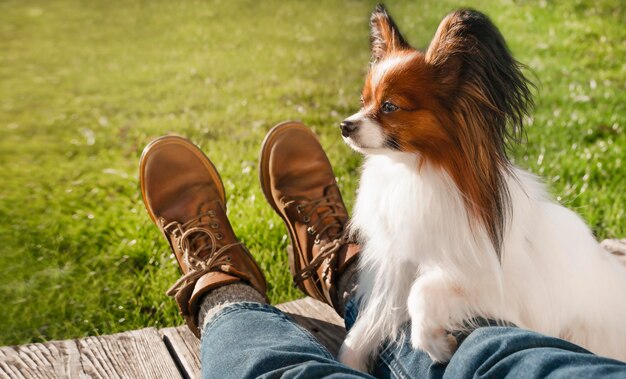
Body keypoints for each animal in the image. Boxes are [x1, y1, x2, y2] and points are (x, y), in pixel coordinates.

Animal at [338, 2, 624, 372]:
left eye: (389, 107)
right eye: (363, 102)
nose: (345, 126)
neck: (413, 172)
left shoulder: (495, 287)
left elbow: (423, 292)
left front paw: (435, 344)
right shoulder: (394, 271)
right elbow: (361, 332)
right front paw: (351, 363)